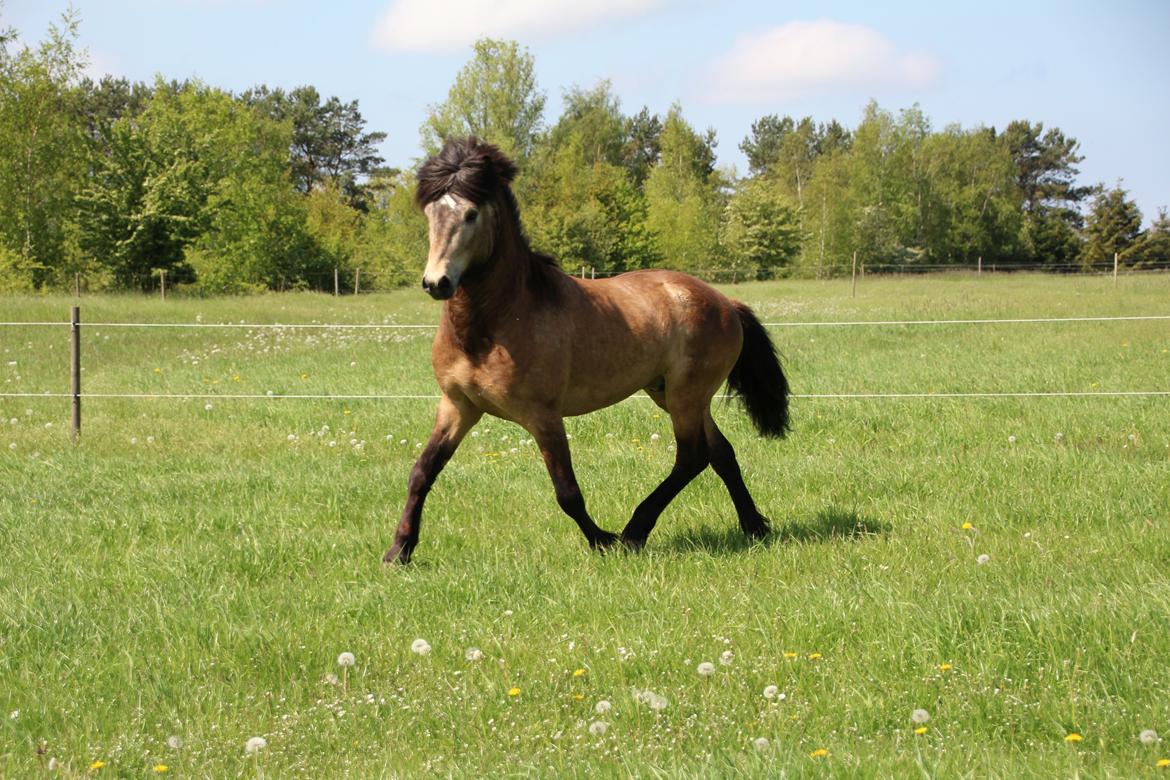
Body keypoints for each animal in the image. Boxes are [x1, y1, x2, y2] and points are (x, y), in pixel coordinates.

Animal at [388, 137, 790, 563]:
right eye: (430, 212)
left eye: (470, 214)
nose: (437, 283)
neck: (496, 323)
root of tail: (725, 302)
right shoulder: (458, 406)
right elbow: (422, 472)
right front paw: (398, 551)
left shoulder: (543, 416)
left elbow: (567, 492)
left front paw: (602, 540)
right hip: (674, 395)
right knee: (721, 454)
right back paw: (753, 526)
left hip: (686, 396)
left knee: (692, 457)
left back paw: (634, 531)